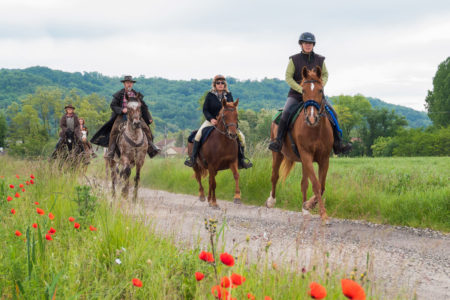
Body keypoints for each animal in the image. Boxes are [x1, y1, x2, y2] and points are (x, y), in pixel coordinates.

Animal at [268, 66, 334, 225]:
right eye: (303, 91)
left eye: (320, 90)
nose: (311, 118)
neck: (315, 130)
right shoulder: (307, 155)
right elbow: (316, 184)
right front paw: (324, 215)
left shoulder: (324, 159)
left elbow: (321, 186)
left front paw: (309, 205)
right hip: (278, 154)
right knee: (275, 176)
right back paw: (271, 201)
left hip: (303, 162)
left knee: (304, 183)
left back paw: (305, 210)